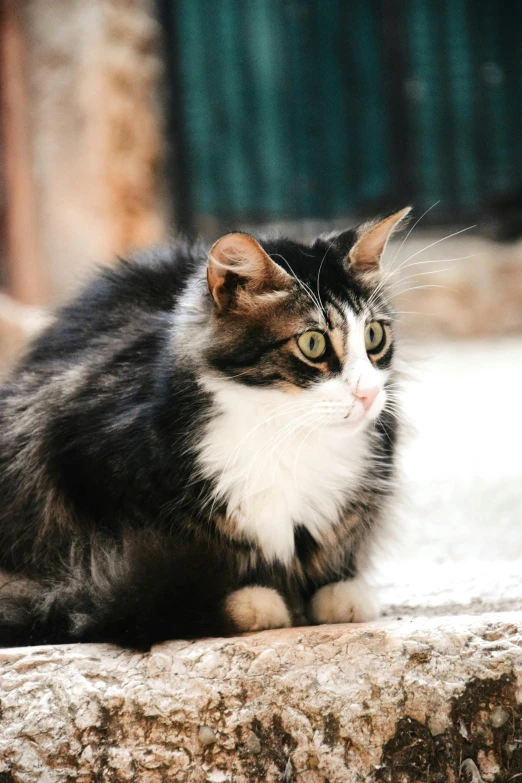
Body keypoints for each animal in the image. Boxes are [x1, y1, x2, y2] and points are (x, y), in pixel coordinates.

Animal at [0, 207, 408, 648]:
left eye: (374, 336)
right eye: (313, 344)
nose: (369, 393)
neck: (283, 431)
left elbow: (338, 557)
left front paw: (341, 594)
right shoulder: (88, 467)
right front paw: (250, 601)